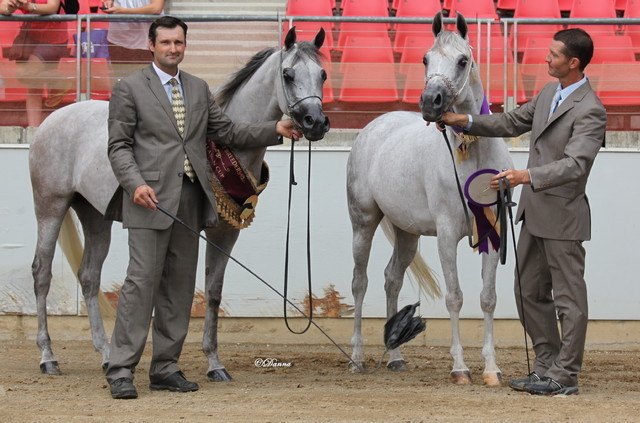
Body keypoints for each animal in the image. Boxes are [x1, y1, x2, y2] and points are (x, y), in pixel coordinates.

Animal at [346, 12, 513, 386]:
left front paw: (492, 368)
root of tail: (373, 127)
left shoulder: (492, 234)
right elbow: (454, 297)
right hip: (363, 223)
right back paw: (357, 357)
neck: (471, 155)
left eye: (463, 60)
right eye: (425, 58)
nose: (429, 102)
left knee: (391, 279)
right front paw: (460, 367)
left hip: (407, 233)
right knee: (360, 283)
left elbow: (488, 298)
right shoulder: (447, 234)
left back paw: (395, 357)